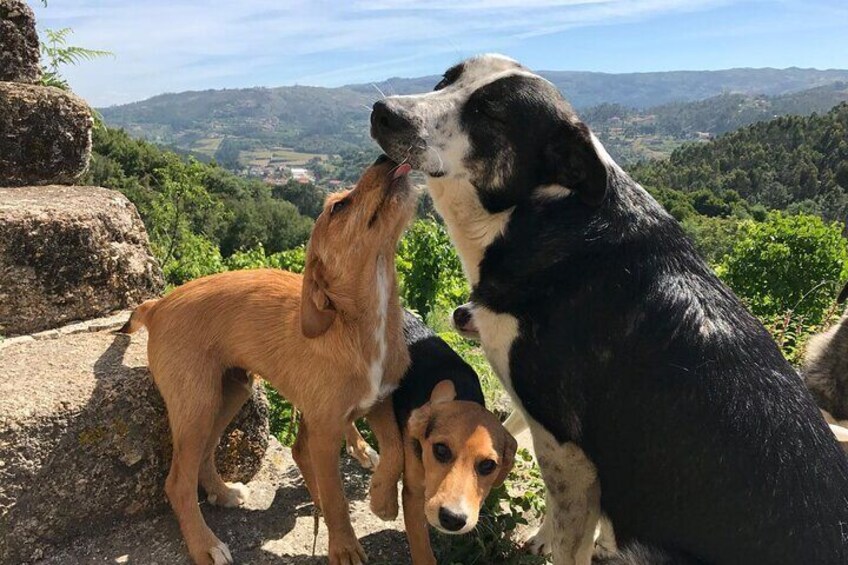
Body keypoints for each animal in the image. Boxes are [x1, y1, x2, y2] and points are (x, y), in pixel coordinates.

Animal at [121, 155, 418, 564]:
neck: (358, 326)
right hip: (197, 403)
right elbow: (335, 499)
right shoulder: (322, 433)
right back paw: (205, 544)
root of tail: (157, 305)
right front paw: (344, 548)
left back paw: (224, 493)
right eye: (339, 206)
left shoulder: (381, 399)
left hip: (230, 392)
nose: (385, 157)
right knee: (177, 481)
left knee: (204, 455)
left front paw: (383, 499)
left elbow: (396, 449)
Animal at [374, 53, 848, 564]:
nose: (382, 112)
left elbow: (569, 535)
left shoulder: (566, 444)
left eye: (490, 115)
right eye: (446, 79)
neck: (546, 212)